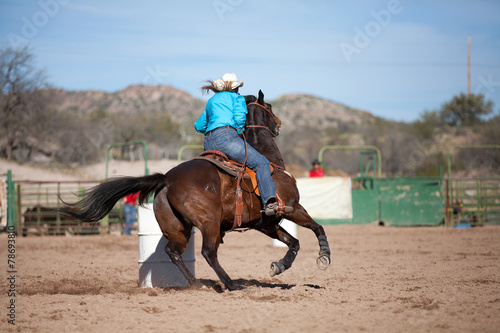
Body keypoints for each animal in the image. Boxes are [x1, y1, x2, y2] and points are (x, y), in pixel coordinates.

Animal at [60, 89, 330, 290]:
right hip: (209, 222)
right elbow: (317, 228)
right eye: (270, 107)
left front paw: (279, 266)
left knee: (173, 252)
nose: (279, 126)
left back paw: (196, 283)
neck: (269, 162)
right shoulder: (293, 208)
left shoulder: (266, 223)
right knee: (208, 252)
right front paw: (324, 256)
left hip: (178, 228)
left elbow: (294, 243)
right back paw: (232, 284)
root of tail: (167, 179)